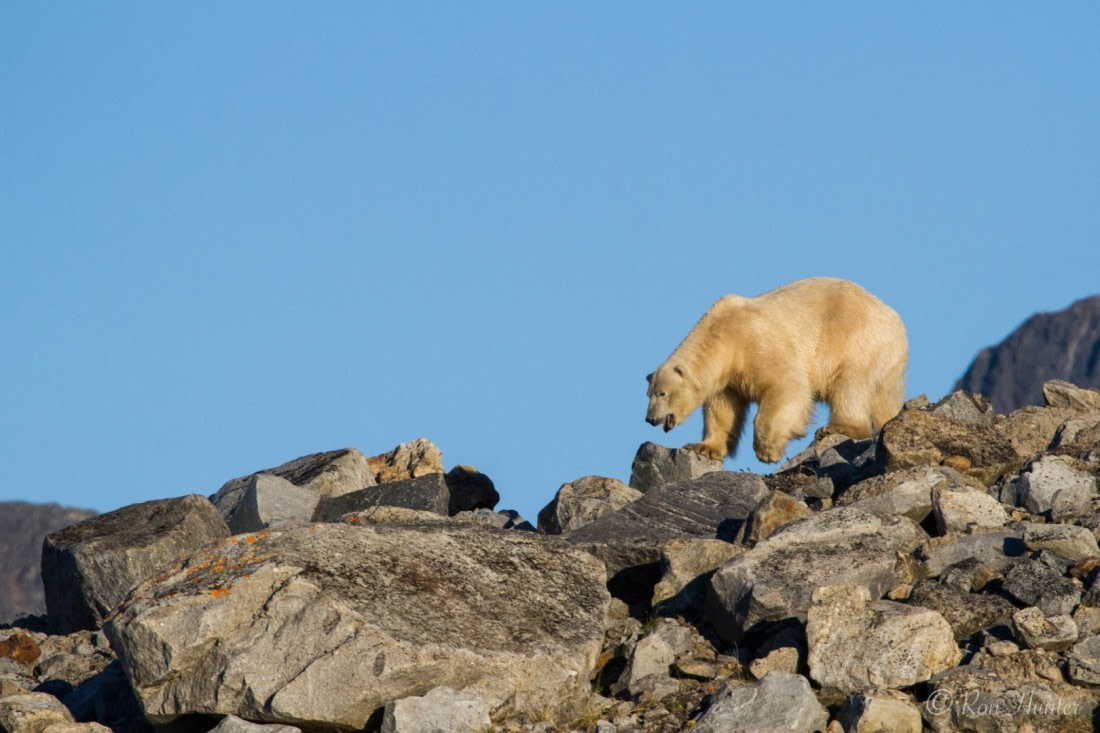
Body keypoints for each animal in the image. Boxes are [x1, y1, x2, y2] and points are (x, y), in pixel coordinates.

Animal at [645, 277, 908, 464]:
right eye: (649, 393)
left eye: (662, 393)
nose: (650, 419)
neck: (724, 334)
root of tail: (895, 322)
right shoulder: (727, 378)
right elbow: (722, 409)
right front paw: (704, 448)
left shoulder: (755, 344)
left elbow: (787, 385)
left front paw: (768, 450)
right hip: (885, 366)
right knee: (882, 400)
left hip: (854, 340)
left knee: (848, 385)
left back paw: (839, 427)